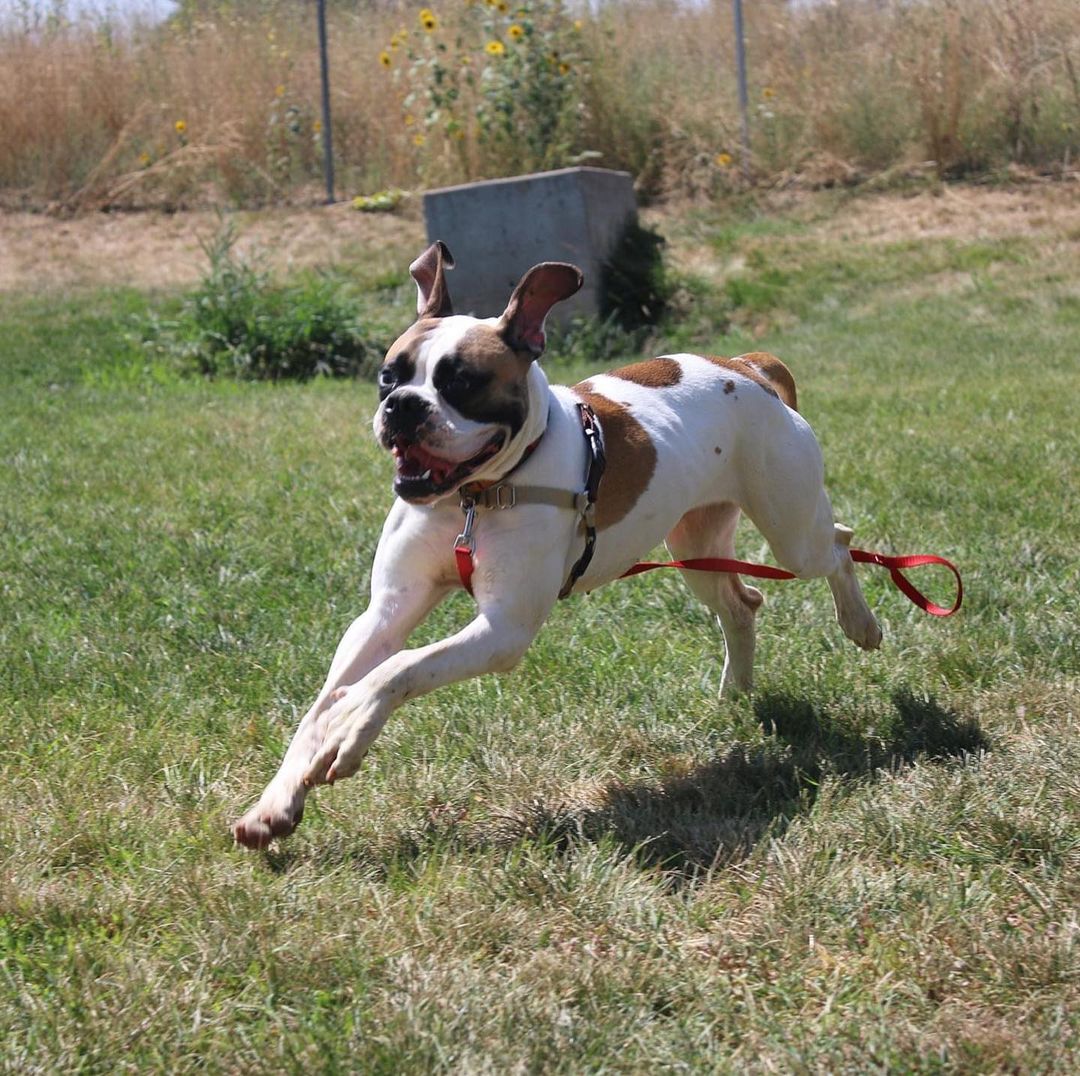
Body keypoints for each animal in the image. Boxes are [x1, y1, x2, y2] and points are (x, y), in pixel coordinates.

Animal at [232, 241, 881, 846]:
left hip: (791, 530)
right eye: (389, 375)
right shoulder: (385, 613)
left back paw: (861, 624)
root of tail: (749, 367)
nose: (403, 407)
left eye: (462, 382)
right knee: (743, 605)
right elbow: (326, 699)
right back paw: (737, 695)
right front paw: (278, 798)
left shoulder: (502, 630)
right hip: (696, 546)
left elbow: (400, 668)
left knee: (839, 544)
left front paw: (349, 727)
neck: (475, 498)